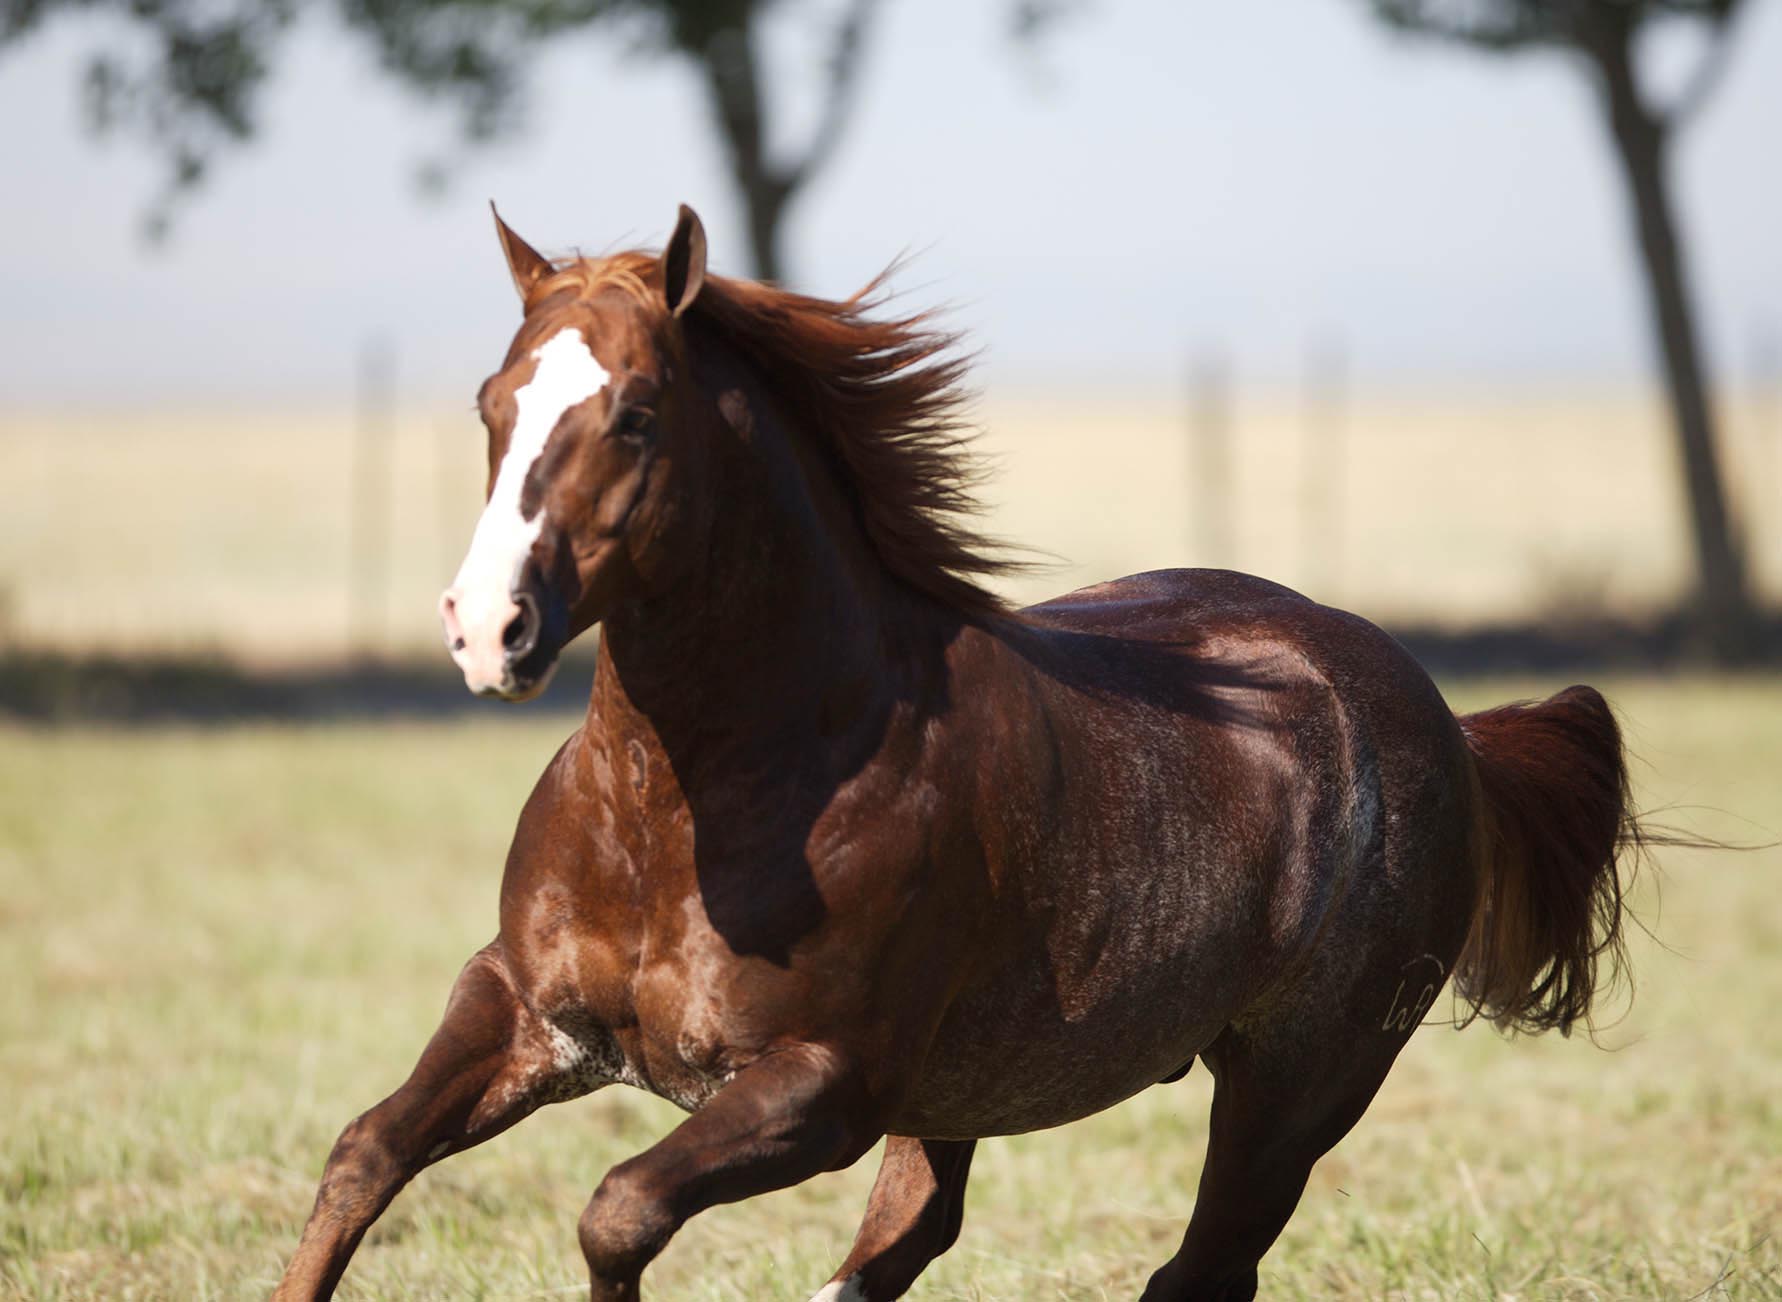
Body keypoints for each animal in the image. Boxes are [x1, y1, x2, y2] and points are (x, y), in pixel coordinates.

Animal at [267, 206, 1639, 1302]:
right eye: (492, 406)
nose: (485, 627)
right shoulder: (524, 1009)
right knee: (915, 1241)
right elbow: (365, 1154)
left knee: (1196, 1272)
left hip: (1293, 1086)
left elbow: (618, 1213)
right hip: (970, 1092)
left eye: (637, 416)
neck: (691, 809)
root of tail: (1444, 724)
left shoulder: (824, 1086)